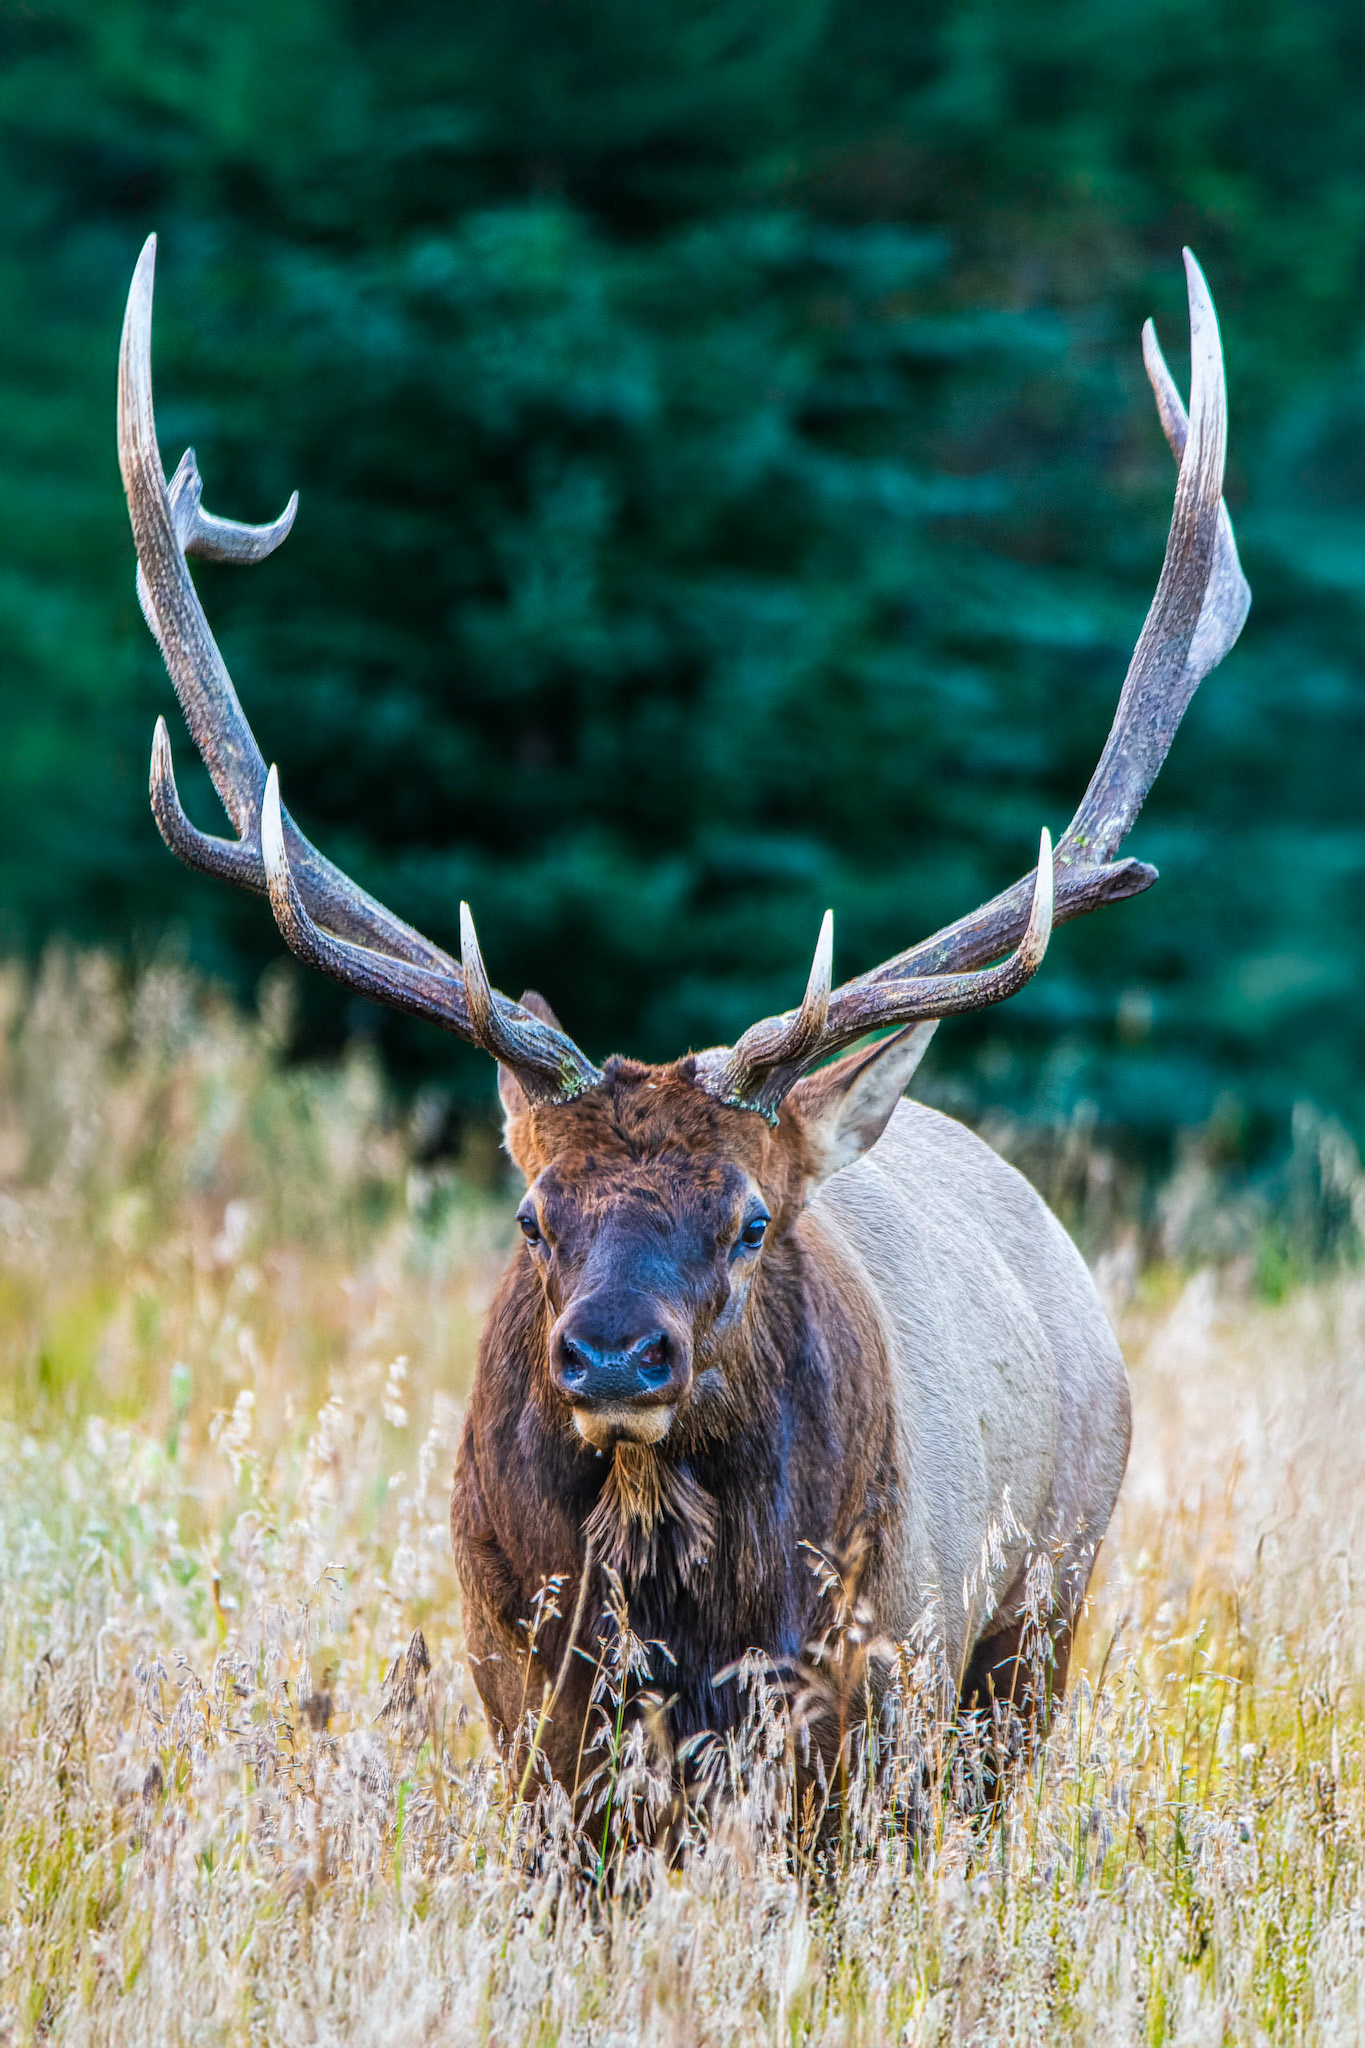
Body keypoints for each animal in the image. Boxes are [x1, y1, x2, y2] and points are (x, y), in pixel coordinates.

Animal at [118, 236, 1248, 1808]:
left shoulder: (871, 1705)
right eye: (532, 1213)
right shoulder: (525, 1716)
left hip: (1033, 1623)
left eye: (750, 1219)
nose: (612, 1356)